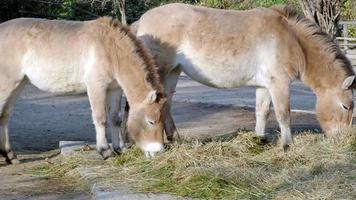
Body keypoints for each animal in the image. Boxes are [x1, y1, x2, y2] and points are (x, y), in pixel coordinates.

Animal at [0, 16, 167, 164]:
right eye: (151, 121)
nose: (158, 151)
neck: (110, 49)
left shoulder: (114, 89)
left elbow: (115, 119)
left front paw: (119, 149)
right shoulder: (96, 87)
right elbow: (100, 118)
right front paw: (105, 152)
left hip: (19, 84)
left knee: (5, 115)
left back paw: (10, 156)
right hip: (8, 84)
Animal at [131, 3, 356, 149]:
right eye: (346, 106)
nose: (343, 139)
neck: (291, 39)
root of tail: (142, 20)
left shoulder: (264, 86)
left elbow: (262, 112)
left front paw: (259, 139)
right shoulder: (279, 84)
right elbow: (283, 114)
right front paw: (287, 144)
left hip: (172, 72)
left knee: (166, 104)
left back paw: (175, 138)